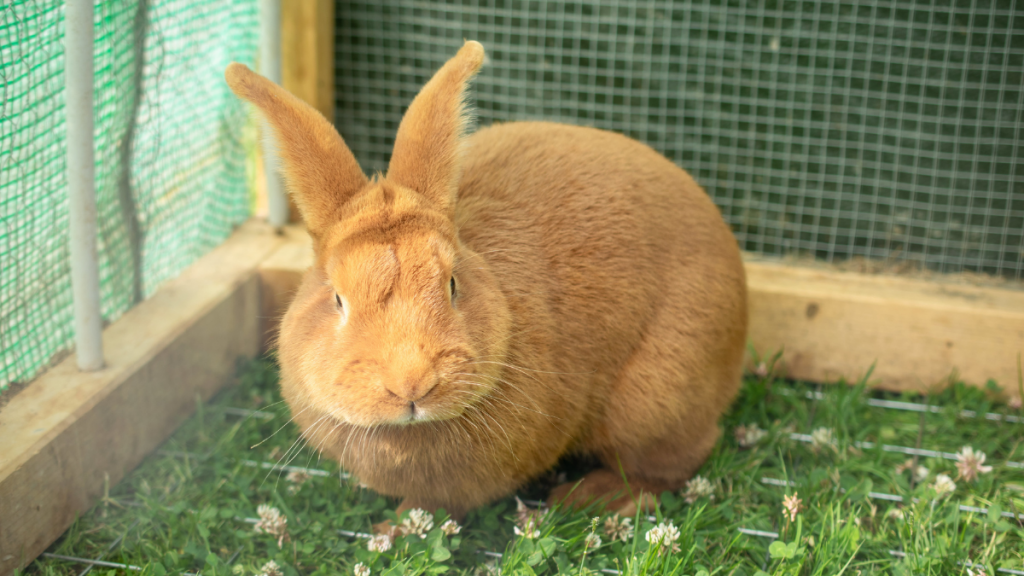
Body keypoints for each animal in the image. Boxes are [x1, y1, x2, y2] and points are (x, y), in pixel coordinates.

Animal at [226, 40, 745, 520]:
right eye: (338, 299)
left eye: (453, 284)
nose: (411, 385)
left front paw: (395, 529)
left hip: (655, 402)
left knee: (670, 464)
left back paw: (589, 497)